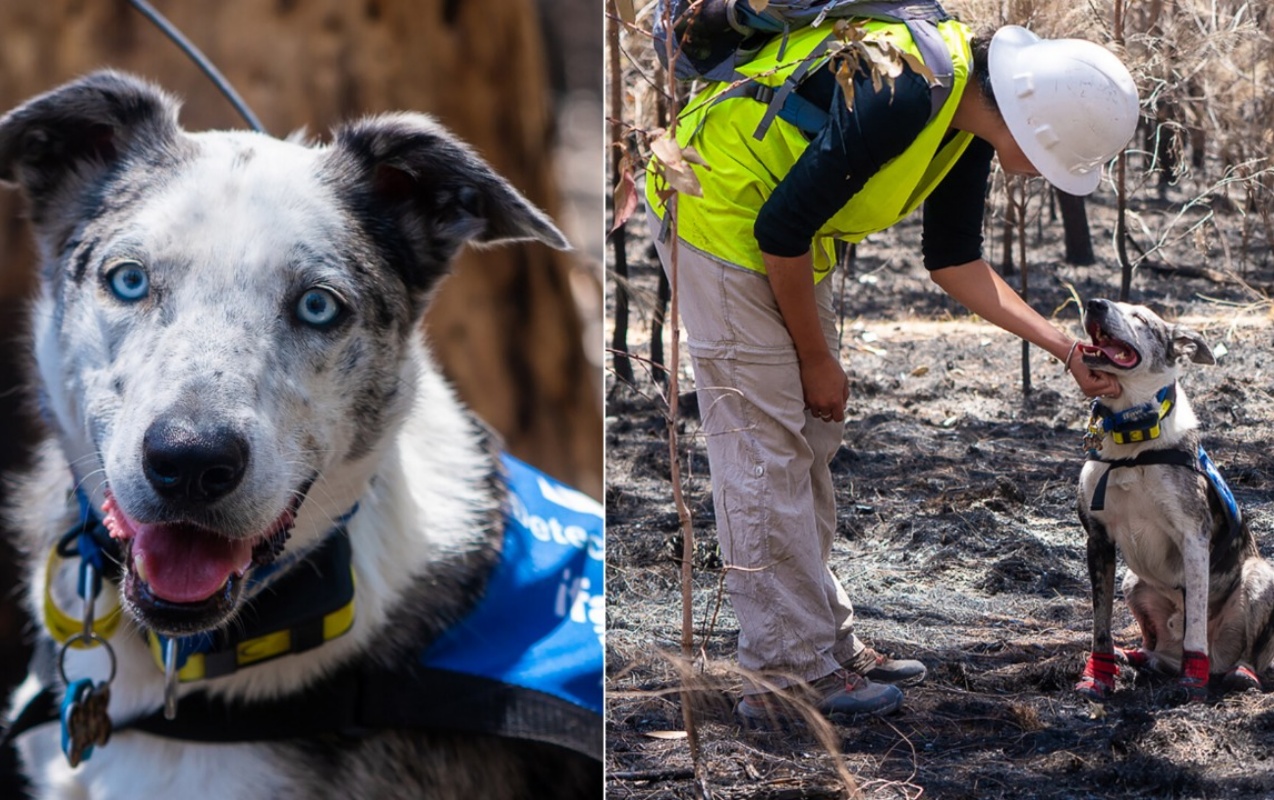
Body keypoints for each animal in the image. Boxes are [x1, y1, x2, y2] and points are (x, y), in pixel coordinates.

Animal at [1075, 298, 1274, 698]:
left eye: (1139, 318)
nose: (1094, 304)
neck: (1132, 437)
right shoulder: (1098, 538)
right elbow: (1100, 623)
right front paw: (1098, 675)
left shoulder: (1193, 536)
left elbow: (1194, 617)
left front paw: (1192, 678)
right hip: (1132, 582)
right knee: (1159, 646)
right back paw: (1141, 658)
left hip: (1262, 576)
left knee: (1249, 653)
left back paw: (1236, 672)